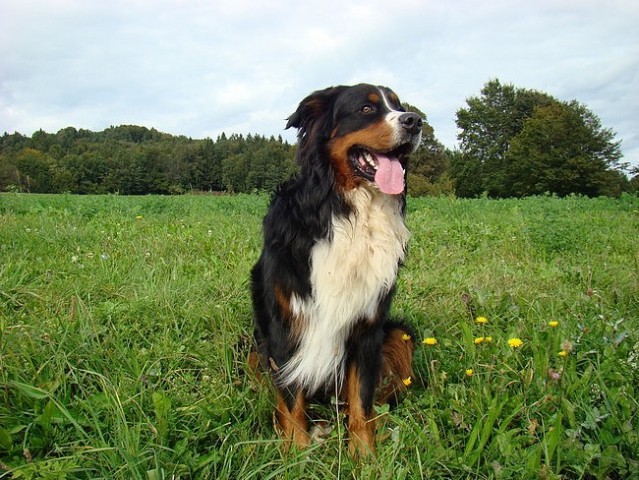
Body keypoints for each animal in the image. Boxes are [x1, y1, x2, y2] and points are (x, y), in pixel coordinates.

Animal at [251, 83, 424, 458]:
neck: (350, 211)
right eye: (366, 109)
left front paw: (364, 455)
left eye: (399, 105)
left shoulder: (368, 326)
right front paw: (297, 454)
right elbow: (291, 399)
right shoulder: (286, 323)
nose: (415, 121)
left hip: (399, 334)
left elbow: (361, 399)